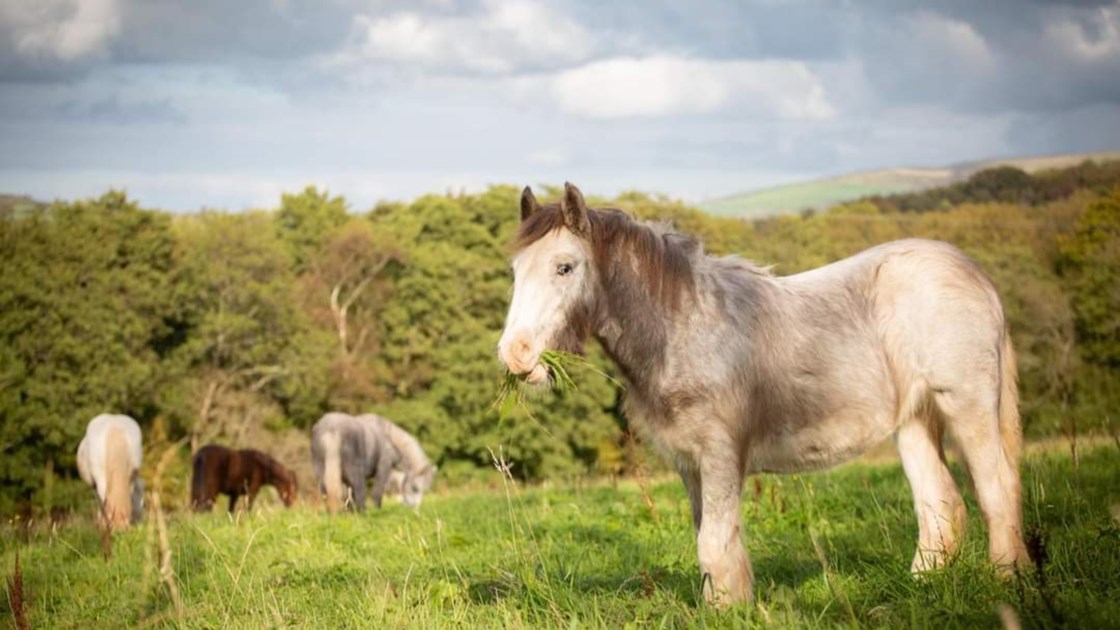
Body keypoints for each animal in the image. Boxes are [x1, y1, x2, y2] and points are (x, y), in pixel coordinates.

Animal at [498, 183, 1029, 605]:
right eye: (516, 270)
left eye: (564, 267)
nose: (515, 355)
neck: (684, 327)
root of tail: (974, 273)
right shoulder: (691, 465)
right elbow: (712, 541)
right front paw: (725, 605)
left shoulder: (719, 454)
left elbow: (714, 542)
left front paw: (730, 610)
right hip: (915, 419)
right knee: (940, 502)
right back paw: (923, 587)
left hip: (966, 405)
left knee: (996, 487)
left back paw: (1006, 582)